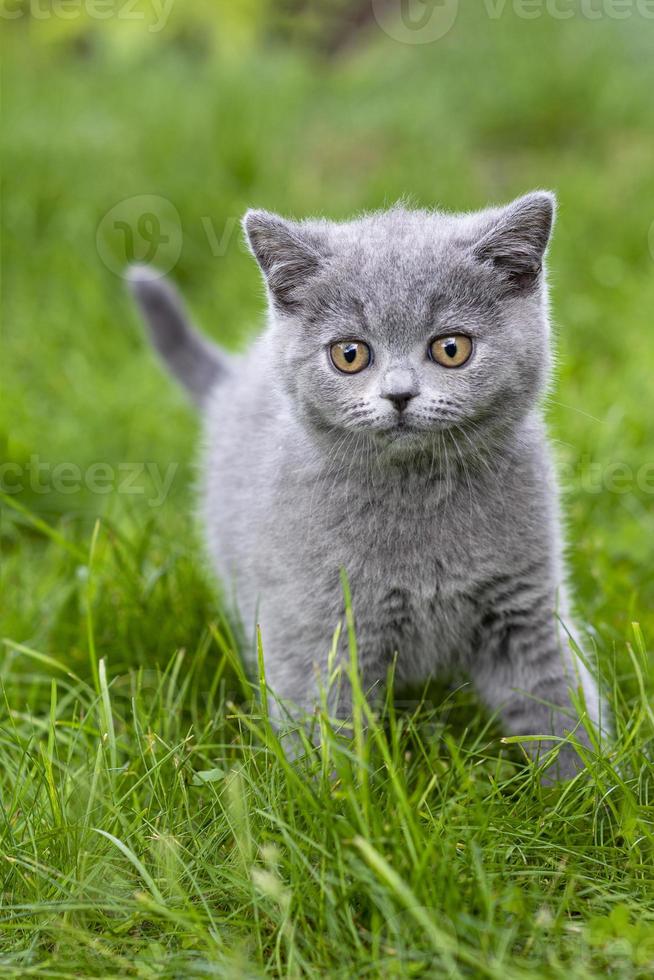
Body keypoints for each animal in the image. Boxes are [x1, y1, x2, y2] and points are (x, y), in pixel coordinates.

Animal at [131, 188, 608, 776]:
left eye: (451, 347)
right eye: (350, 354)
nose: (399, 394)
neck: (419, 495)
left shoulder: (524, 609)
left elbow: (557, 704)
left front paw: (593, 788)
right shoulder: (319, 627)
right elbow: (323, 727)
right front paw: (327, 795)